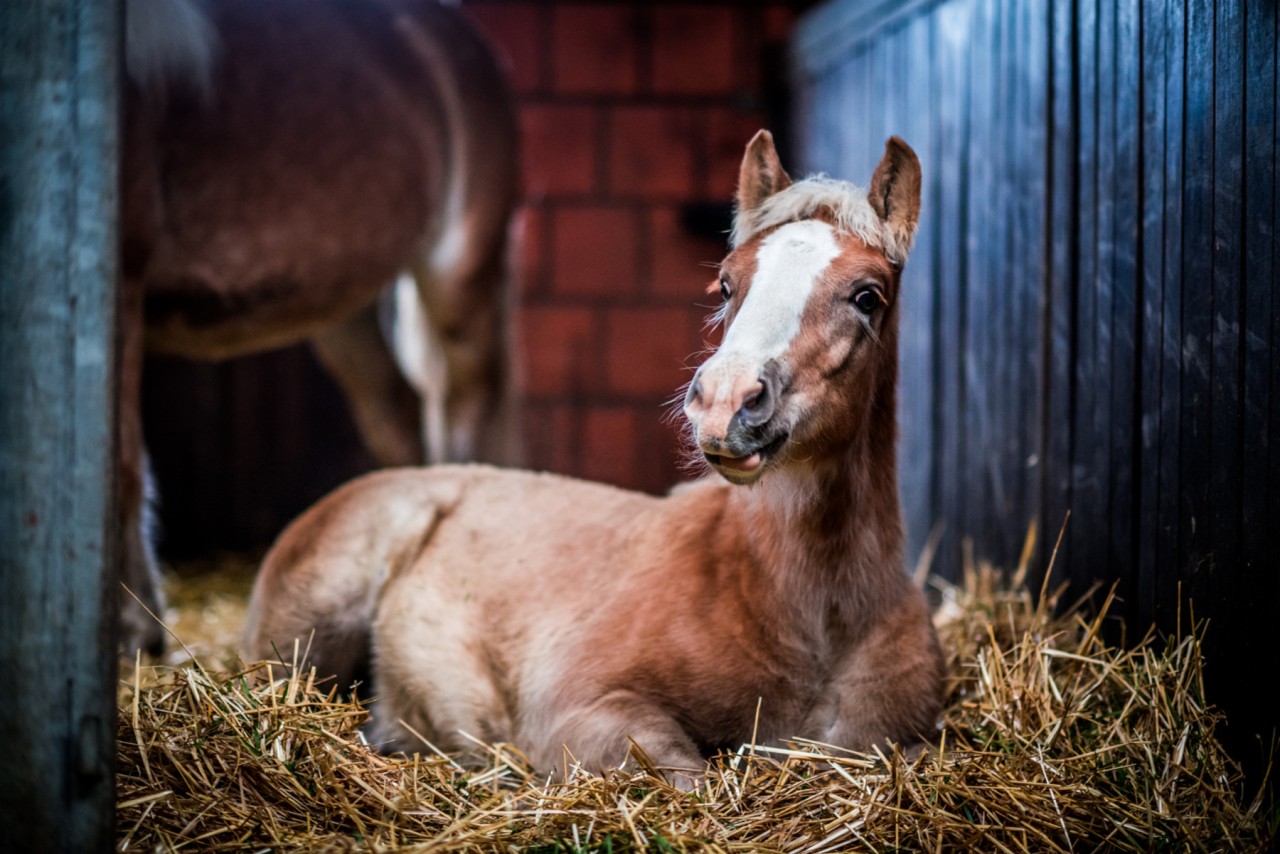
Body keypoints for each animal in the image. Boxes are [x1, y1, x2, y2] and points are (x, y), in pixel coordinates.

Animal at [120, 0, 519, 655]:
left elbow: (124, 465)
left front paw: (134, 631)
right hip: (347, 310)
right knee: (397, 410)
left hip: (459, 277)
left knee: (467, 403)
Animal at [241, 131, 942, 788]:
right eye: (726, 282)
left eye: (867, 296)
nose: (725, 402)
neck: (807, 620)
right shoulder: (578, 709)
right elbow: (687, 780)